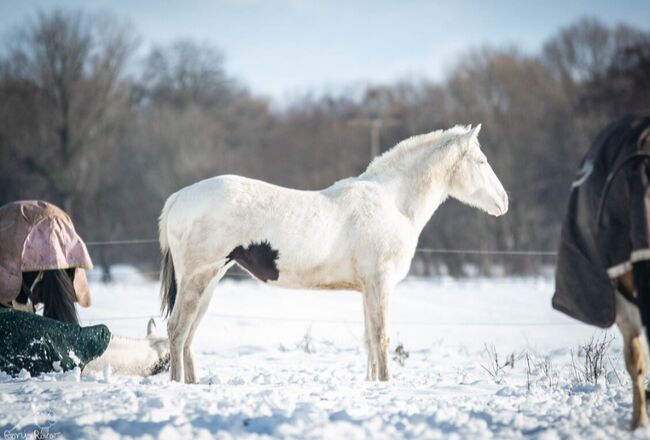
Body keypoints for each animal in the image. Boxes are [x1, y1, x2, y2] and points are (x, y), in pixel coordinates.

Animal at [157, 123, 506, 382]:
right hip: (197, 280)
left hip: (210, 280)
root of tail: (179, 197)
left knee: (188, 336)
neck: (393, 203)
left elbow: (369, 341)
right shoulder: (380, 285)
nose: (503, 202)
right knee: (177, 331)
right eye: (482, 162)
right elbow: (381, 339)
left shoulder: (368, 289)